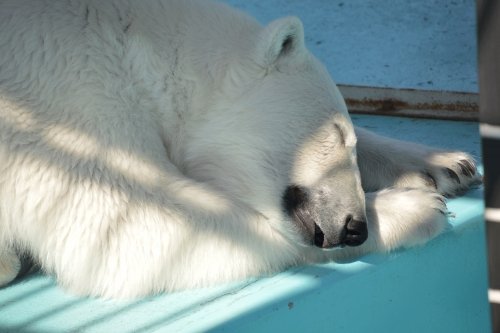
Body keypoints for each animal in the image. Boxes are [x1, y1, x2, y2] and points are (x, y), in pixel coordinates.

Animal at [0, 0, 482, 296]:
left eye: (346, 136)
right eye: (333, 133)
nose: (354, 227)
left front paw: (448, 165)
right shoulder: (62, 101)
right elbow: (133, 225)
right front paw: (415, 208)